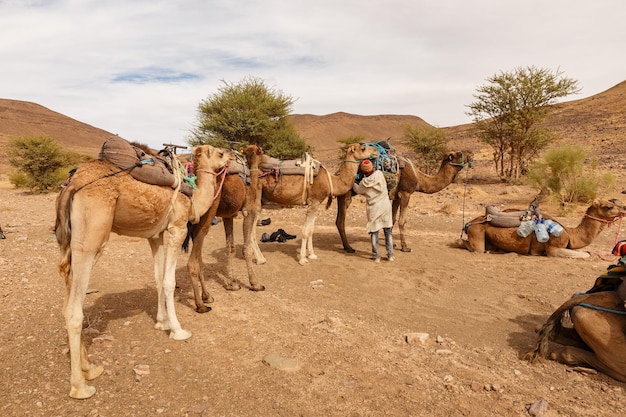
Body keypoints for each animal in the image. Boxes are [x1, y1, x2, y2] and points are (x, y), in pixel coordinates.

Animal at [53, 145, 233, 398]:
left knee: (66, 296)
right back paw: (80, 386)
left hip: (70, 242)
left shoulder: (155, 235)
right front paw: (178, 330)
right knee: (74, 310)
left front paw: (161, 322)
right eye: (219, 154)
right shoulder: (177, 228)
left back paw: (90, 367)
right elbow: (168, 282)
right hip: (90, 239)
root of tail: (71, 185)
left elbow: (157, 278)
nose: (234, 155)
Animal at [184, 144, 264, 312]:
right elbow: (246, 248)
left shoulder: (229, 216)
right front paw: (255, 284)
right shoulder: (249, 211)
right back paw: (201, 303)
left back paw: (206, 296)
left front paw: (232, 283)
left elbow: (230, 248)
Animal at [334, 151, 470, 252]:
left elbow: (393, 220)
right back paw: (349, 248)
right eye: (459, 154)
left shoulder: (396, 196)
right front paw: (405, 247)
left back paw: (346, 246)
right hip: (347, 193)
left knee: (338, 220)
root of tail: (337, 173)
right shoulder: (406, 193)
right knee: (341, 220)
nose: (470, 156)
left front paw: (392, 244)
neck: (419, 178)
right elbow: (402, 221)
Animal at [458, 198, 624, 256]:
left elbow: (587, 252)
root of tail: (469, 223)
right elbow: (585, 255)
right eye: (609, 206)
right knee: (468, 244)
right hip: (477, 232)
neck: (570, 233)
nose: (624, 208)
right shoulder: (553, 249)